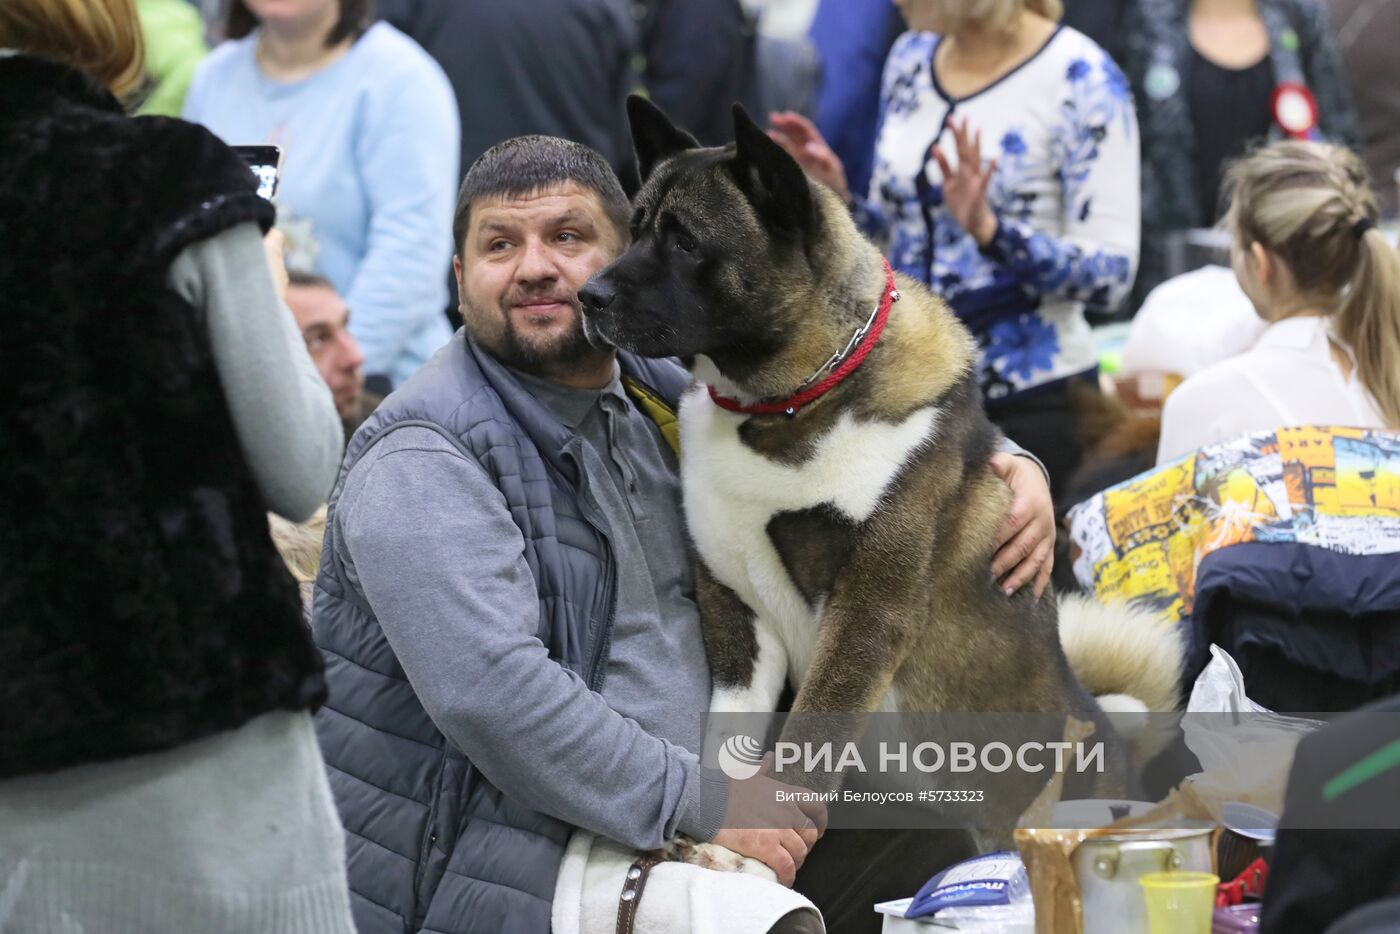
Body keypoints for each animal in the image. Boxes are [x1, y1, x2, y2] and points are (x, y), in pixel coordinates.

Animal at [574, 100, 1176, 823]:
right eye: (634, 229)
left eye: (685, 241)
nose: (587, 296)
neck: (790, 400)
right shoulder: (733, 609)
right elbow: (729, 743)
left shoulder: (866, 614)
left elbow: (807, 745)